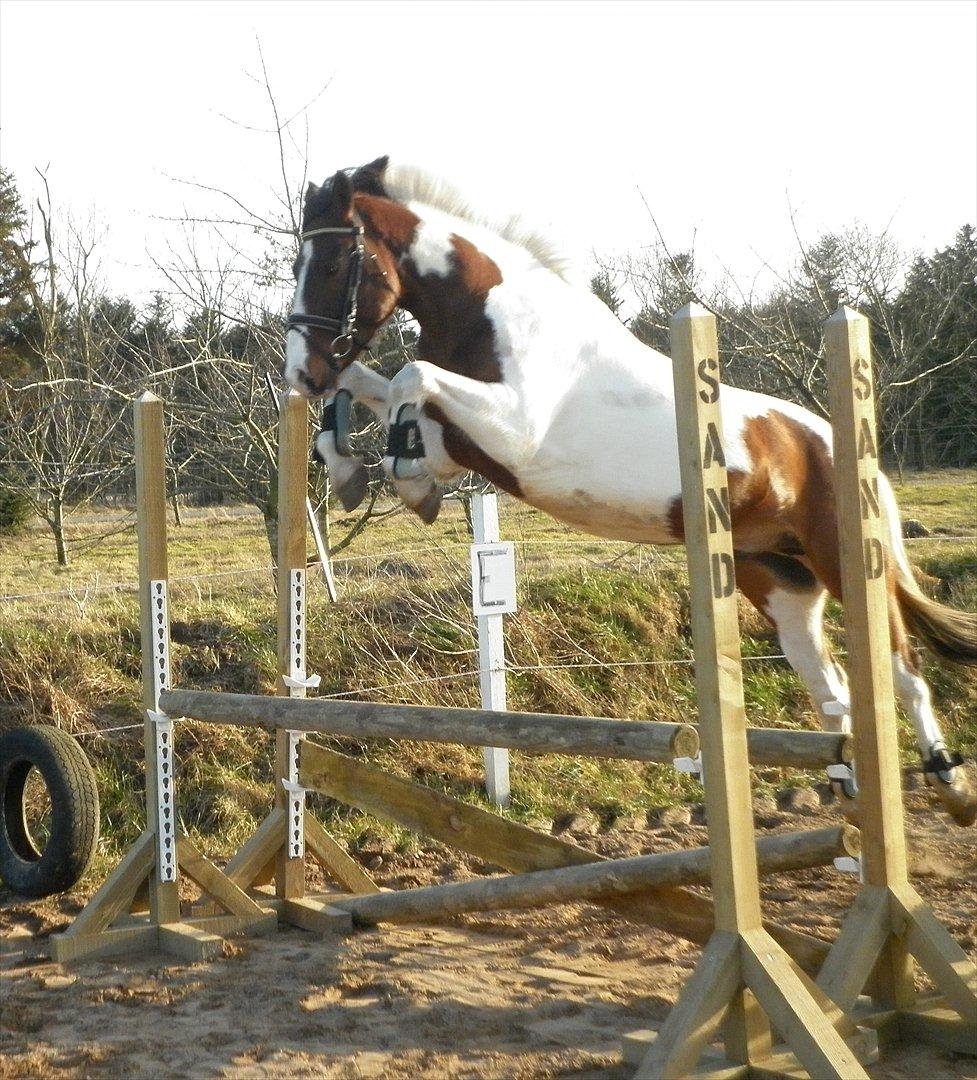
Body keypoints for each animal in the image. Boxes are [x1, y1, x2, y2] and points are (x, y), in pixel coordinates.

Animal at [285, 154, 975, 825]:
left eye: (331, 263)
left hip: (845, 561)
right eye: (298, 263)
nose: (300, 373)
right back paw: (849, 785)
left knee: (902, 673)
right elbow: (375, 385)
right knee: (831, 687)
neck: (488, 310)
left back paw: (949, 783)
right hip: (780, 580)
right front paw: (354, 468)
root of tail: (840, 445)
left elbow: (410, 376)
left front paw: (401, 476)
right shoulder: (463, 437)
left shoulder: (516, 429)